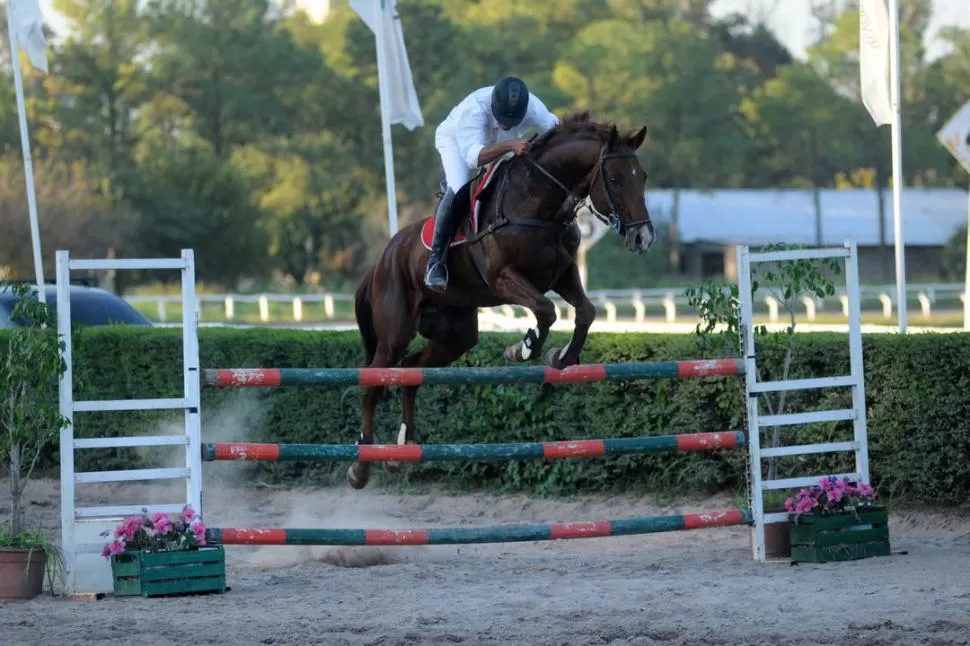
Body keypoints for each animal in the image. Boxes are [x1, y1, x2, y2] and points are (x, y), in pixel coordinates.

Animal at [344, 111, 656, 488]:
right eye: (614, 177)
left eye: (643, 176)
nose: (643, 237)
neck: (539, 205)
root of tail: (382, 259)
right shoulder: (503, 278)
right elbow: (546, 311)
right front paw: (523, 348)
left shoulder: (563, 275)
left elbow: (586, 311)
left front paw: (561, 356)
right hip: (394, 333)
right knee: (373, 381)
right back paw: (361, 466)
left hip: (455, 335)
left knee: (410, 370)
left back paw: (400, 451)